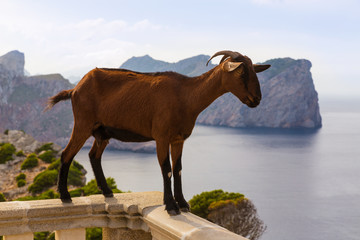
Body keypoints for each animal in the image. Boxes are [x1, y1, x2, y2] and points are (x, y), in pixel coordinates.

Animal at [45, 50, 270, 216]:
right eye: (241, 73)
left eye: (254, 71)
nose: (256, 99)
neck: (186, 96)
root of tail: (75, 89)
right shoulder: (161, 137)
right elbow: (166, 169)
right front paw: (171, 206)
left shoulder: (179, 139)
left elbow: (178, 169)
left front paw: (183, 204)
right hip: (82, 123)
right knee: (66, 154)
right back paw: (65, 196)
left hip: (103, 131)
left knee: (93, 155)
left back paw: (107, 192)